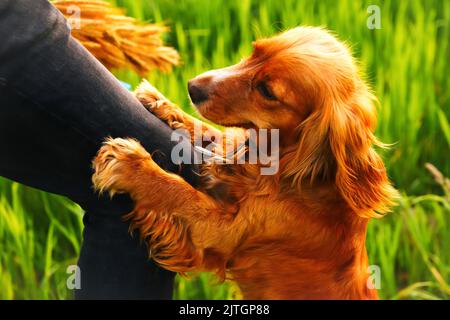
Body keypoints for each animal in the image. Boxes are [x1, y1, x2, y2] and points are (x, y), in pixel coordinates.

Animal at [92, 26, 398, 298]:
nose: (192, 87)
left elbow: (179, 193)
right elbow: (213, 134)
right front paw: (162, 103)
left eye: (266, 90)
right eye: (254, 52)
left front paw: (131, 163)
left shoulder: (220, 232)